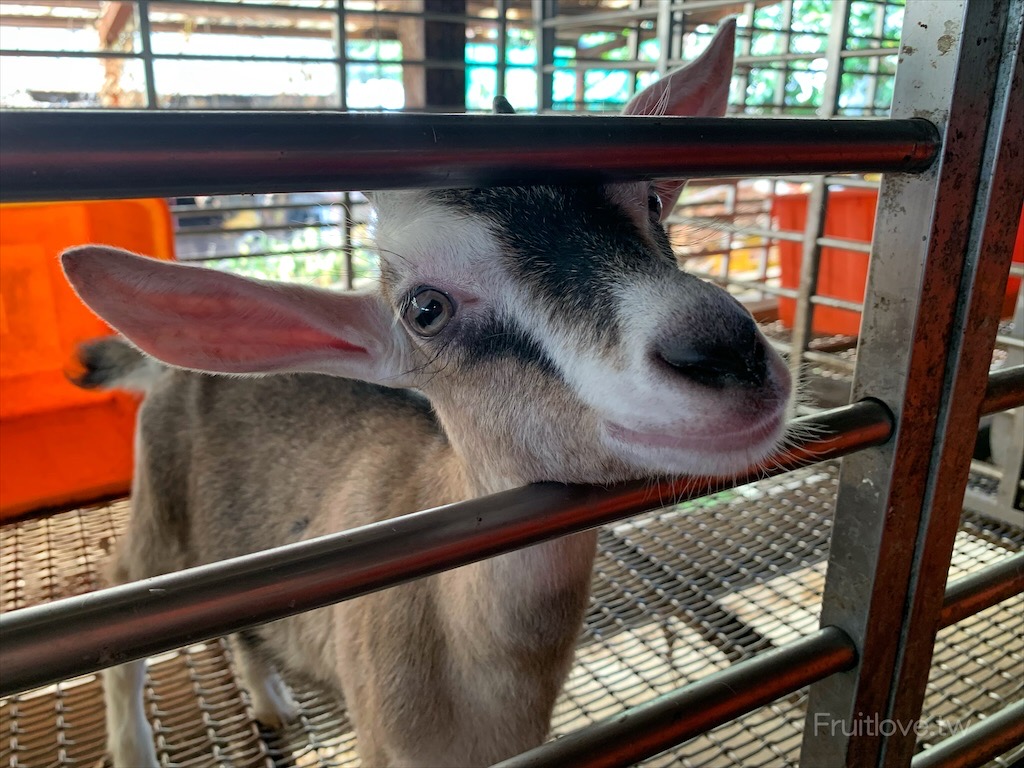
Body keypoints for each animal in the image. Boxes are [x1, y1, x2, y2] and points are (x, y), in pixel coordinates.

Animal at [59, 19, 786, 768]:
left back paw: (270, 701)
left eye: (650, 203)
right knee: (119, 600)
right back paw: (135, 748)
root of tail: (167, 370)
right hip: (158, 522)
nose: (724, 350)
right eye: (425, 308)